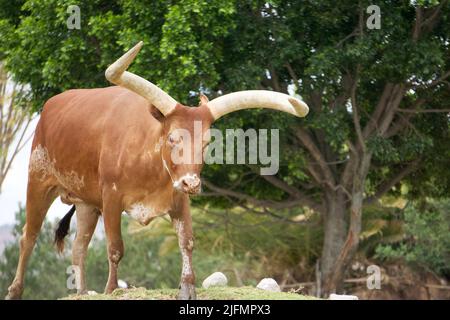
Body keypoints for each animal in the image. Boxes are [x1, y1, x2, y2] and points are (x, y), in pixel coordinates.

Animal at [5, 42, 310, 300]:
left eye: (207, 142)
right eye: (173, 138)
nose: (193, 183)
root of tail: (50, 106)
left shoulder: (178, 197)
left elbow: (186, 242)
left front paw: (187, 288)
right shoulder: (111, 198)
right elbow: (115, 248)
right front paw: (112, 289)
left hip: (86, 203)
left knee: (79, 247)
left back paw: (80, 292)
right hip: (39, 181)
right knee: (28, 237)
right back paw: (15, 290)